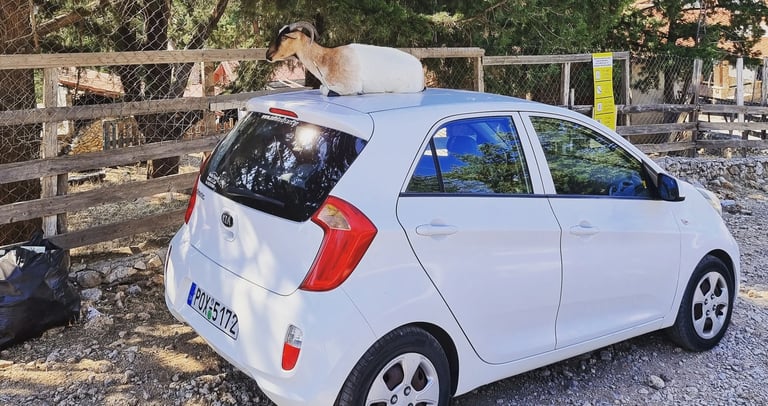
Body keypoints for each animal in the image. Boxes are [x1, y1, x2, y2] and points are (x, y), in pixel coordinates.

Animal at [265, 21, 425, 96]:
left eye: (285, 37)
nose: (268, 55)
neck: (328, 59)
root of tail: (419, 67)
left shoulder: (350, 85)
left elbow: (325, 90)